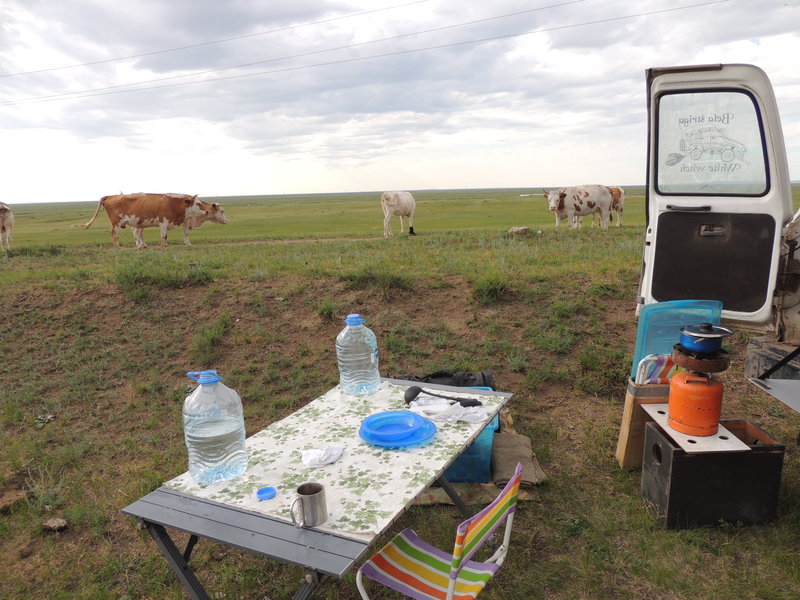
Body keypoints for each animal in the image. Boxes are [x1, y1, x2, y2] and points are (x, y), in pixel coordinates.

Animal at [76, 193, 227, 249]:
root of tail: (110, 196)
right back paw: (119, 248)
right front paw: (164, 247)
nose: (207, 211)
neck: (173, 203)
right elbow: (165, 235)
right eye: (198, 204)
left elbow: (181, 234)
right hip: (117, 223)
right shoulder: (164, 221)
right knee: (114, 234)